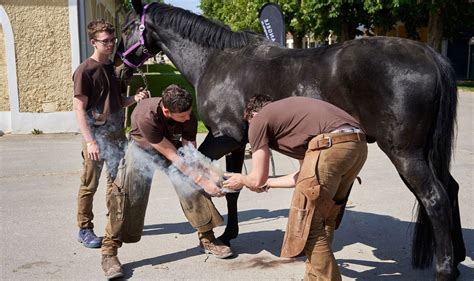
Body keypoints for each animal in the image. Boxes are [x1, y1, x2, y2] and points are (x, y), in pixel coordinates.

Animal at [116, 1, 464, 278]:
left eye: (128, 26)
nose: (120, 63)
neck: (217, 60)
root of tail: (429, 54)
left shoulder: (224, 136)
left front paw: (214, 236)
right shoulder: (238, 142)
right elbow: (232, 189)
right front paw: (227, 234)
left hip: (405, 154)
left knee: (435, 198)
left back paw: (445, 269)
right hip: (425, 153)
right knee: (451, 189)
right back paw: (458, 257)